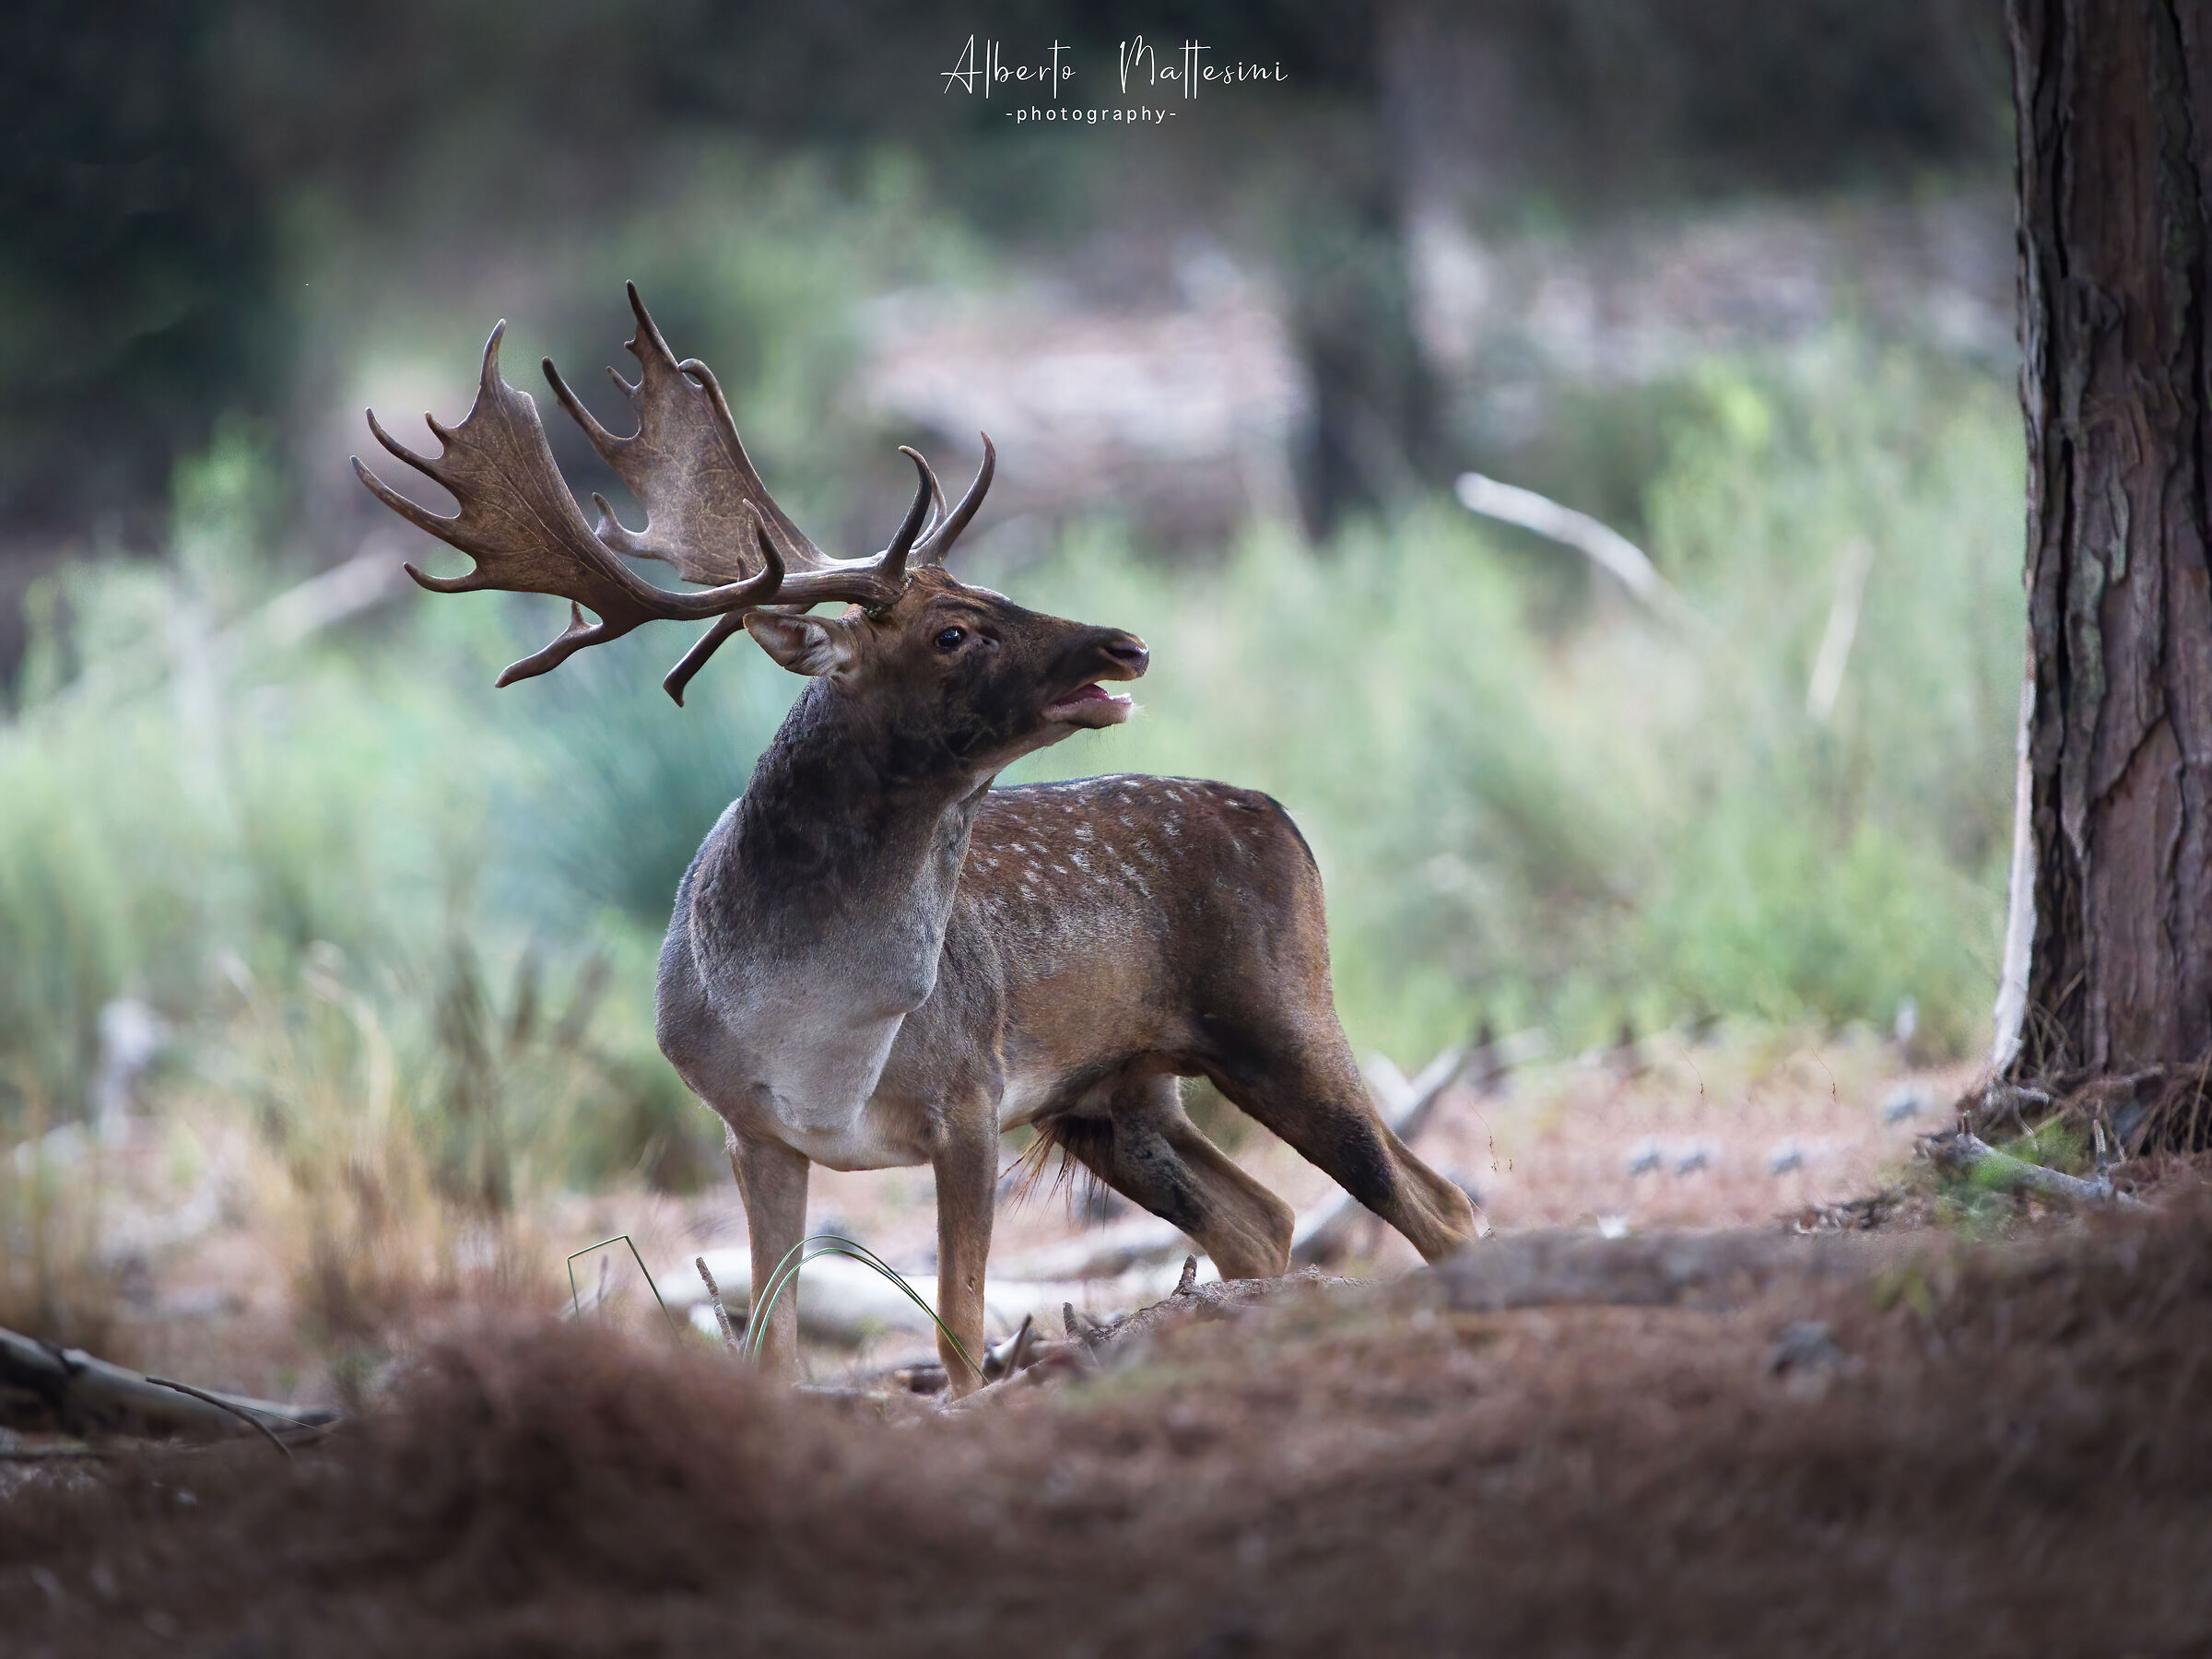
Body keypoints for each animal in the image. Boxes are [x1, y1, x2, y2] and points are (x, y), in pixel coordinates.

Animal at [355, 285, 1482, 1392]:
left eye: (992, 591)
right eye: (953, 631)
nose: (1127, 645)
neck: (812, 1027)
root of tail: (1282, 818)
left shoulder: (971, 1095)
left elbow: (958, 1331)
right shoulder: (750, 1130)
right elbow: (775, 1345)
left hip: (1279, 1015)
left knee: (1436, 1204)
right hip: (1119, 1094)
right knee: (1269, 1215)